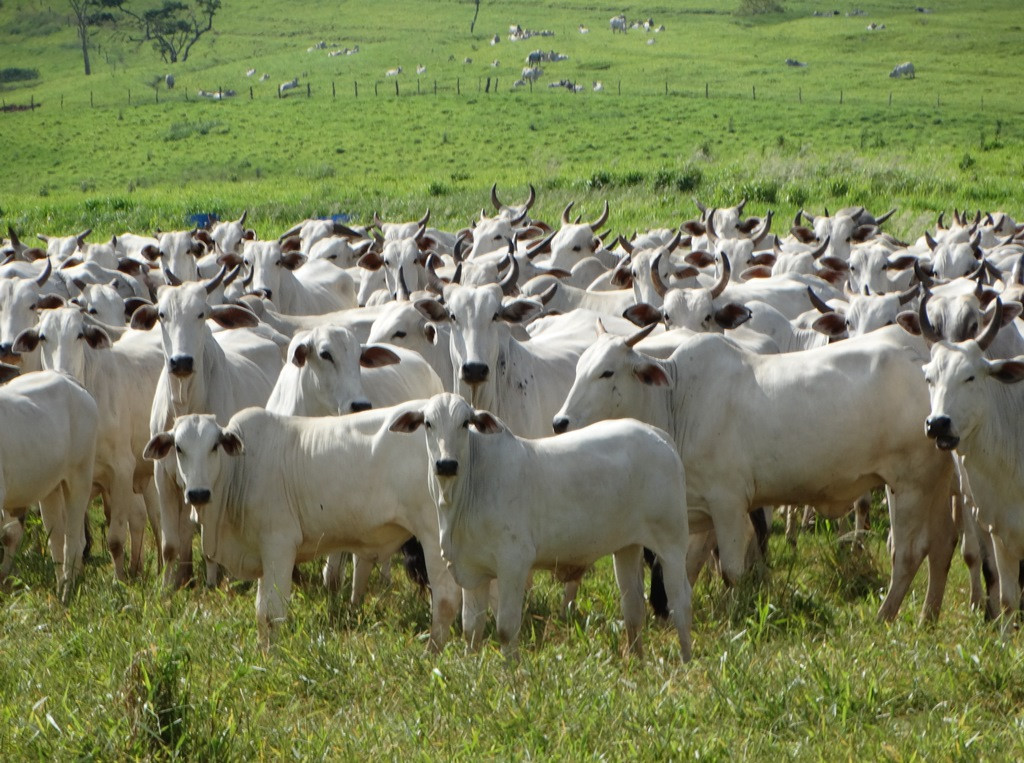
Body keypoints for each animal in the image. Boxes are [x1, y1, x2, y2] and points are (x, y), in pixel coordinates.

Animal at [144, 411, 460, 647]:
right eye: (179, 448)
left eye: (214, 446)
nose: (197, 493)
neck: (239, 472)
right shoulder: (265, 556)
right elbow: (261, 613)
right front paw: (262, 653)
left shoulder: (280, 546)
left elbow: (273, 613)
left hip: (434, 540)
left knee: (446, 599)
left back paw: (434, 651)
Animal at [387, 393, 692, 659]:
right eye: (428, 423)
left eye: (465, 423)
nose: (446, 464)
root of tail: (656, 434)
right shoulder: (472, 570)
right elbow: (471, 630)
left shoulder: (514, 564)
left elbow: (506, 628)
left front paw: (511, 672)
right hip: (628, 546)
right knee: (633, 607)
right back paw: (636, 659)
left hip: (673, 543)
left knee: (680, 601)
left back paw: (686, 660)